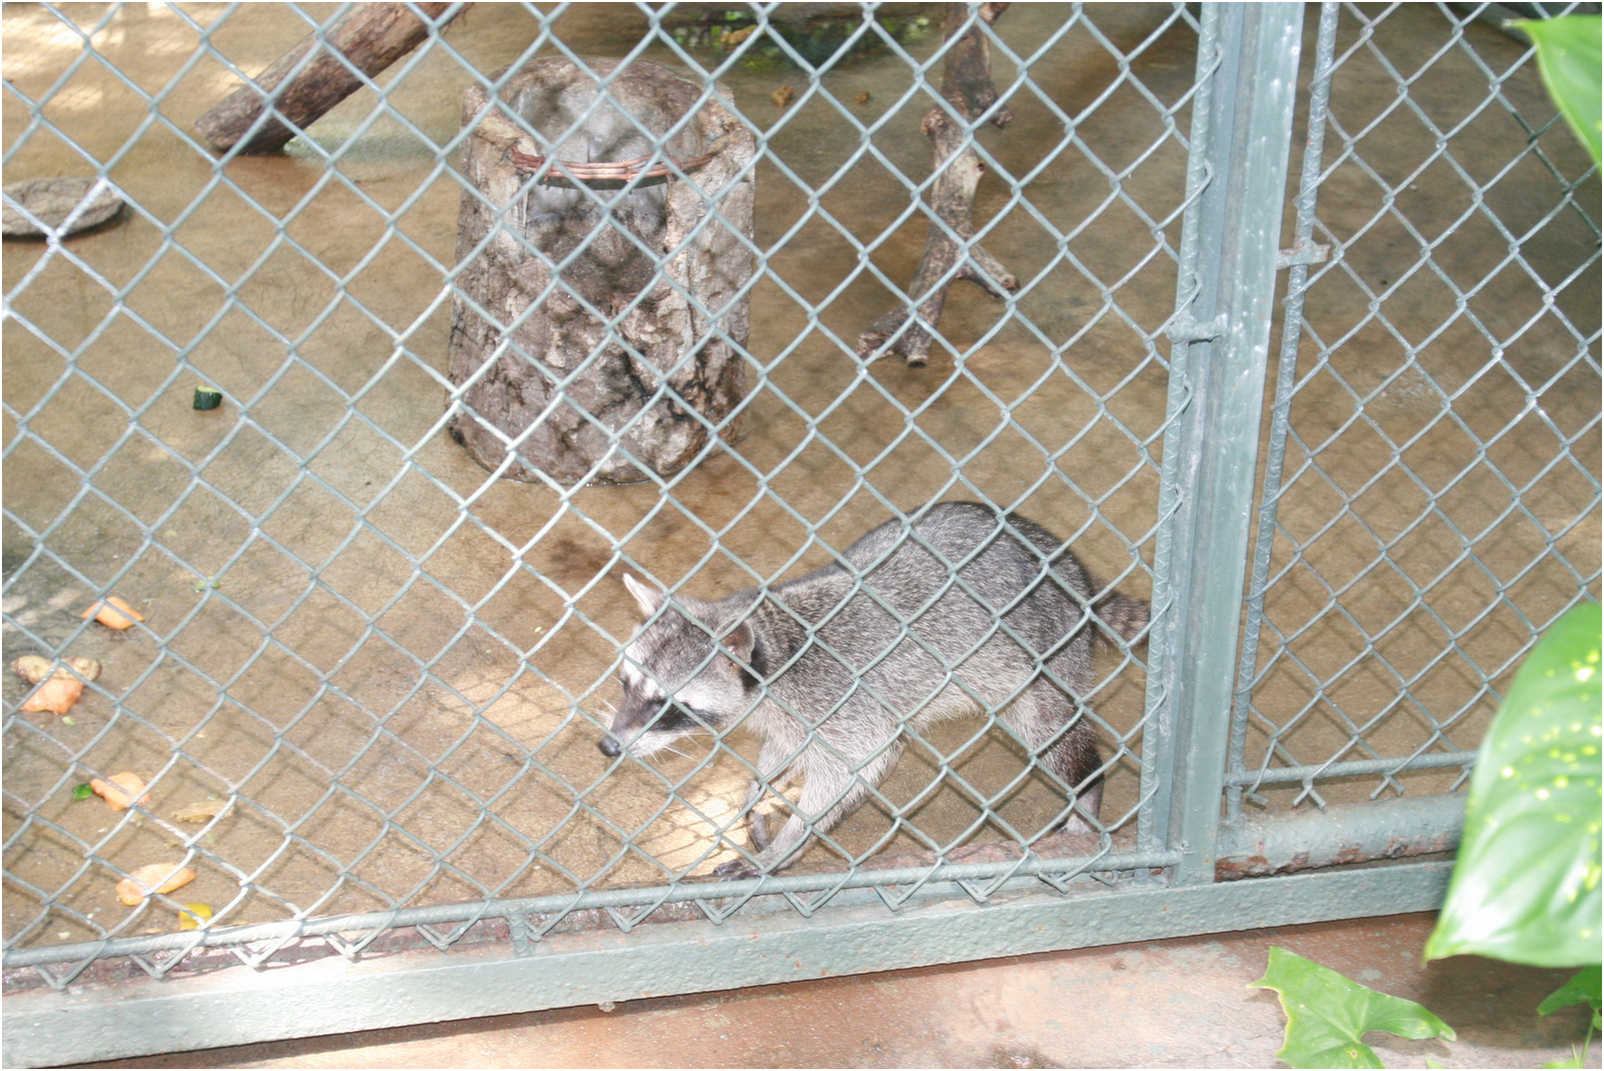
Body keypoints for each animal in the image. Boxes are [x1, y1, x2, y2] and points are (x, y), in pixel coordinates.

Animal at [596, 503, 1148, 878]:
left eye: (665, 704)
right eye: (626, 683)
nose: (608, 745)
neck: (775, 649)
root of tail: (1071, 571)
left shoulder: (843, 701)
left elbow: (851, 770)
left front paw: (787, 842)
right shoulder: (788, 713)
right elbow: (784, 748)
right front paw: (759, 791)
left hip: (1045, 652)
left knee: (1051, 733)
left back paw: (1086, 789)